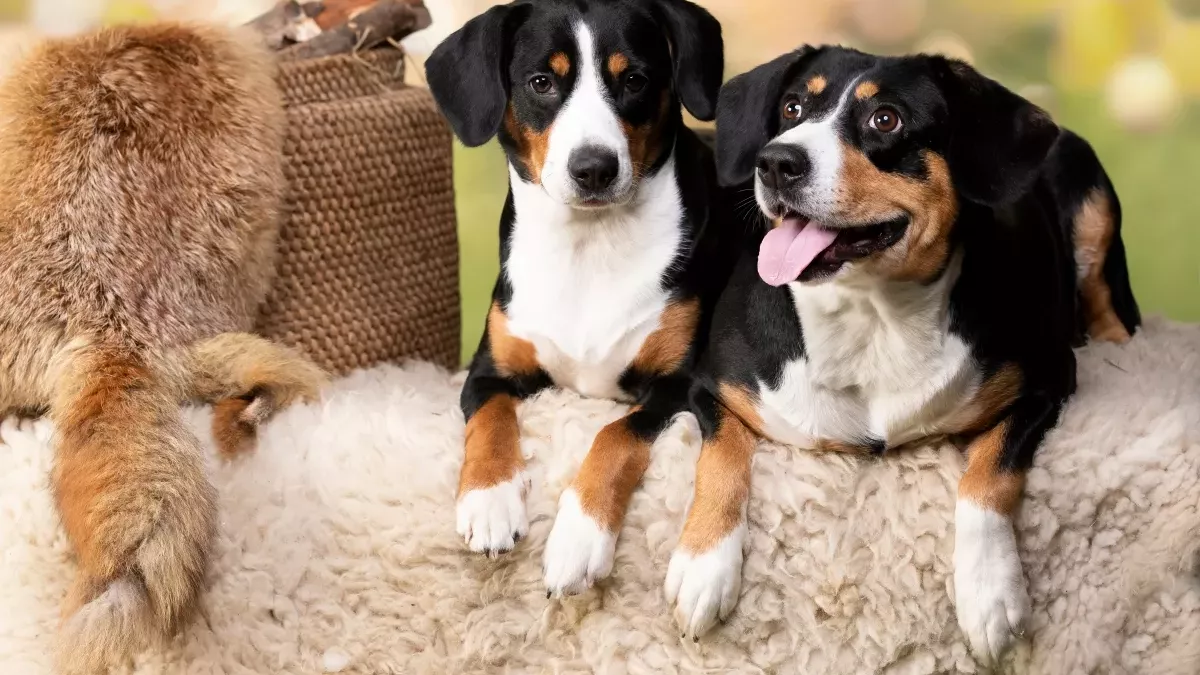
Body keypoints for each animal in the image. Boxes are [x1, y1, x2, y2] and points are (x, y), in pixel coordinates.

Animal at [427, 0, 734, 598]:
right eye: (542, 82)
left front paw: (579, 538)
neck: (589, 247)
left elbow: (614, 436)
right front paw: (490, 501)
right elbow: (490, 420)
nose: (594, 168)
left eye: (634, 79)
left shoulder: (676, 384)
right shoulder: (489, 368)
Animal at [676, 45, 1142, 658]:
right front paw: (703, 568)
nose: (776, 162)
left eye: (886, 119)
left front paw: (990, 595)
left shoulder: (1044, 382)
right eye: (793, 106)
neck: (872, 318)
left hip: (1092, 202)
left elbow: (988, 478)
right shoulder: (713, 386)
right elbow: (721, 457)